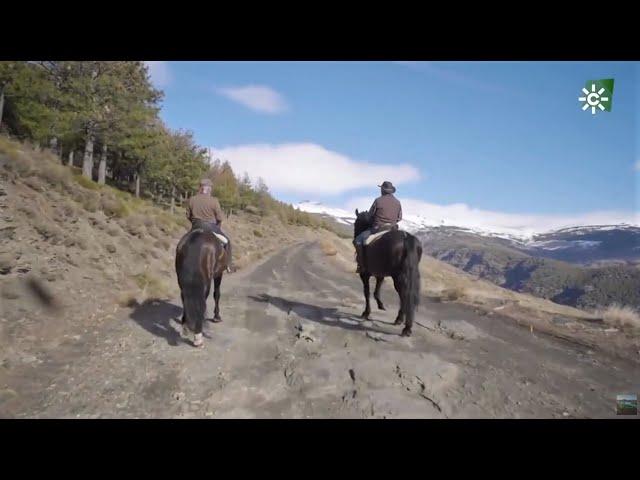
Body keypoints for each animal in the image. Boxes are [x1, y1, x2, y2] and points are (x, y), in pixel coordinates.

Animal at [352, 208, 422, 336]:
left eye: (356, 223)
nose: (354, 235)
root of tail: (406, 237)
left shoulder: (364, 274)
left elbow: (367, 292)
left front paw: (366, 313)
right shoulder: (380, 274)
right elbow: (376, 290)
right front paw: (380, 305)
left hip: (398, 276)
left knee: (404, 294)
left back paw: (404, 324)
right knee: (406, 295)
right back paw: (402, 322)